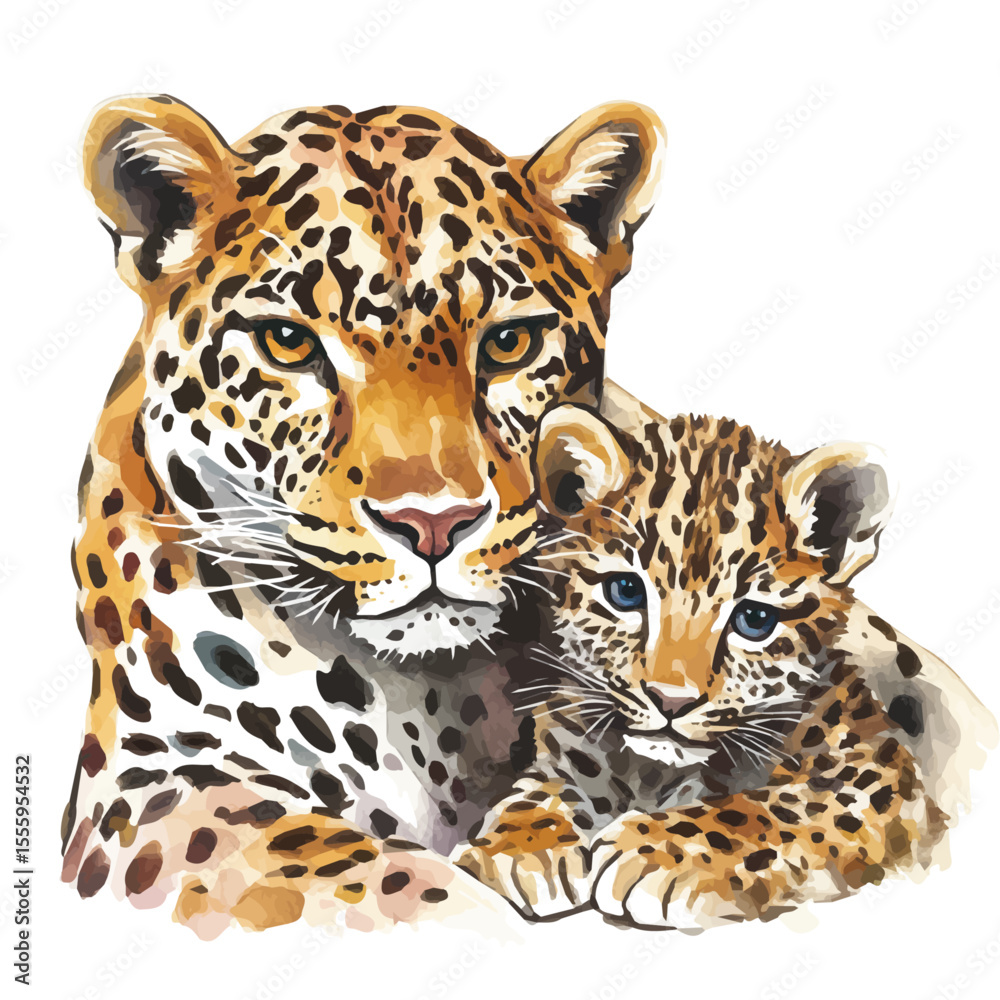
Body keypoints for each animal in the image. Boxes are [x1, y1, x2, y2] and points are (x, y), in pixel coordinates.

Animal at [62, 93, 664, 937]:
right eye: (287, 342)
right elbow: (359, 875)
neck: (425, 702)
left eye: (511, 344)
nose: (436, 523)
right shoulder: (140, 793)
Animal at [457, 384, 995, 928]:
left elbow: (771, 809)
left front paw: (651, 849)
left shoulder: (868, 777)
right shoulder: (570, 742)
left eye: (754, 620)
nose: (671, 702)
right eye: (625, 592)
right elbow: (543, 784)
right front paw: (521, 843)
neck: (655, 773)